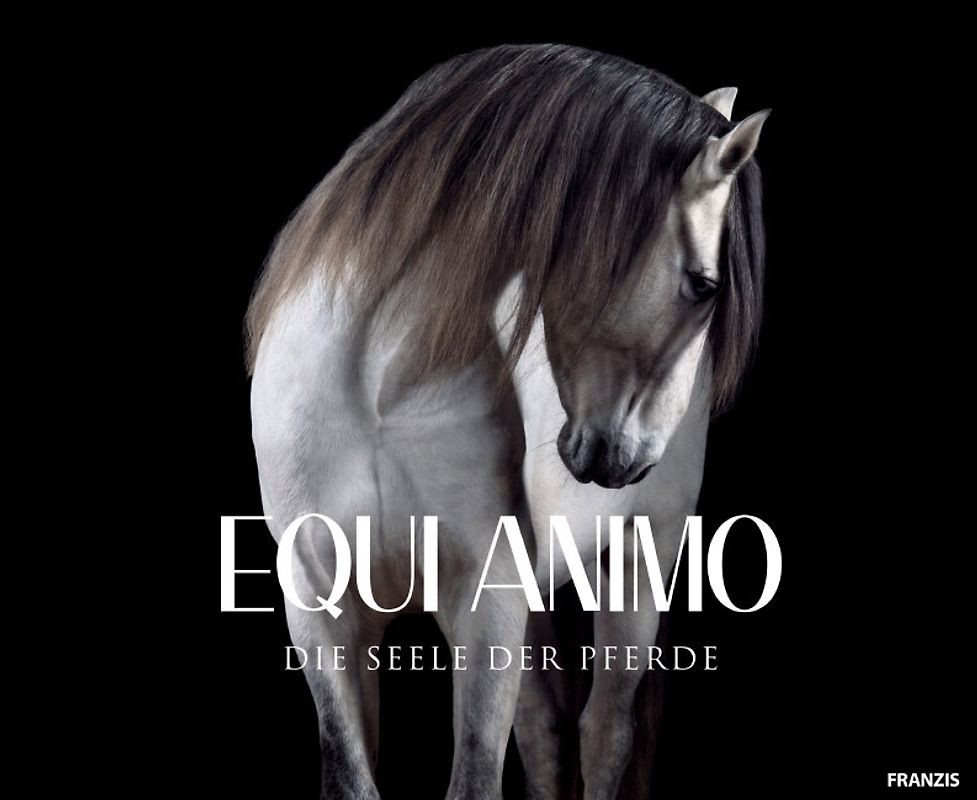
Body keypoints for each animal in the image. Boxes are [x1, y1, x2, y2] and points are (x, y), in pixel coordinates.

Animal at [246, 43, 767, 800]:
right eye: (704, 286)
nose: (622, 456)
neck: (375, 385)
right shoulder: (321, 608)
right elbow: (352, 776)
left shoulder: (486, 604)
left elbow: (475, 779)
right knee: (547, 733)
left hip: (637, 566)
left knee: (603, 732)